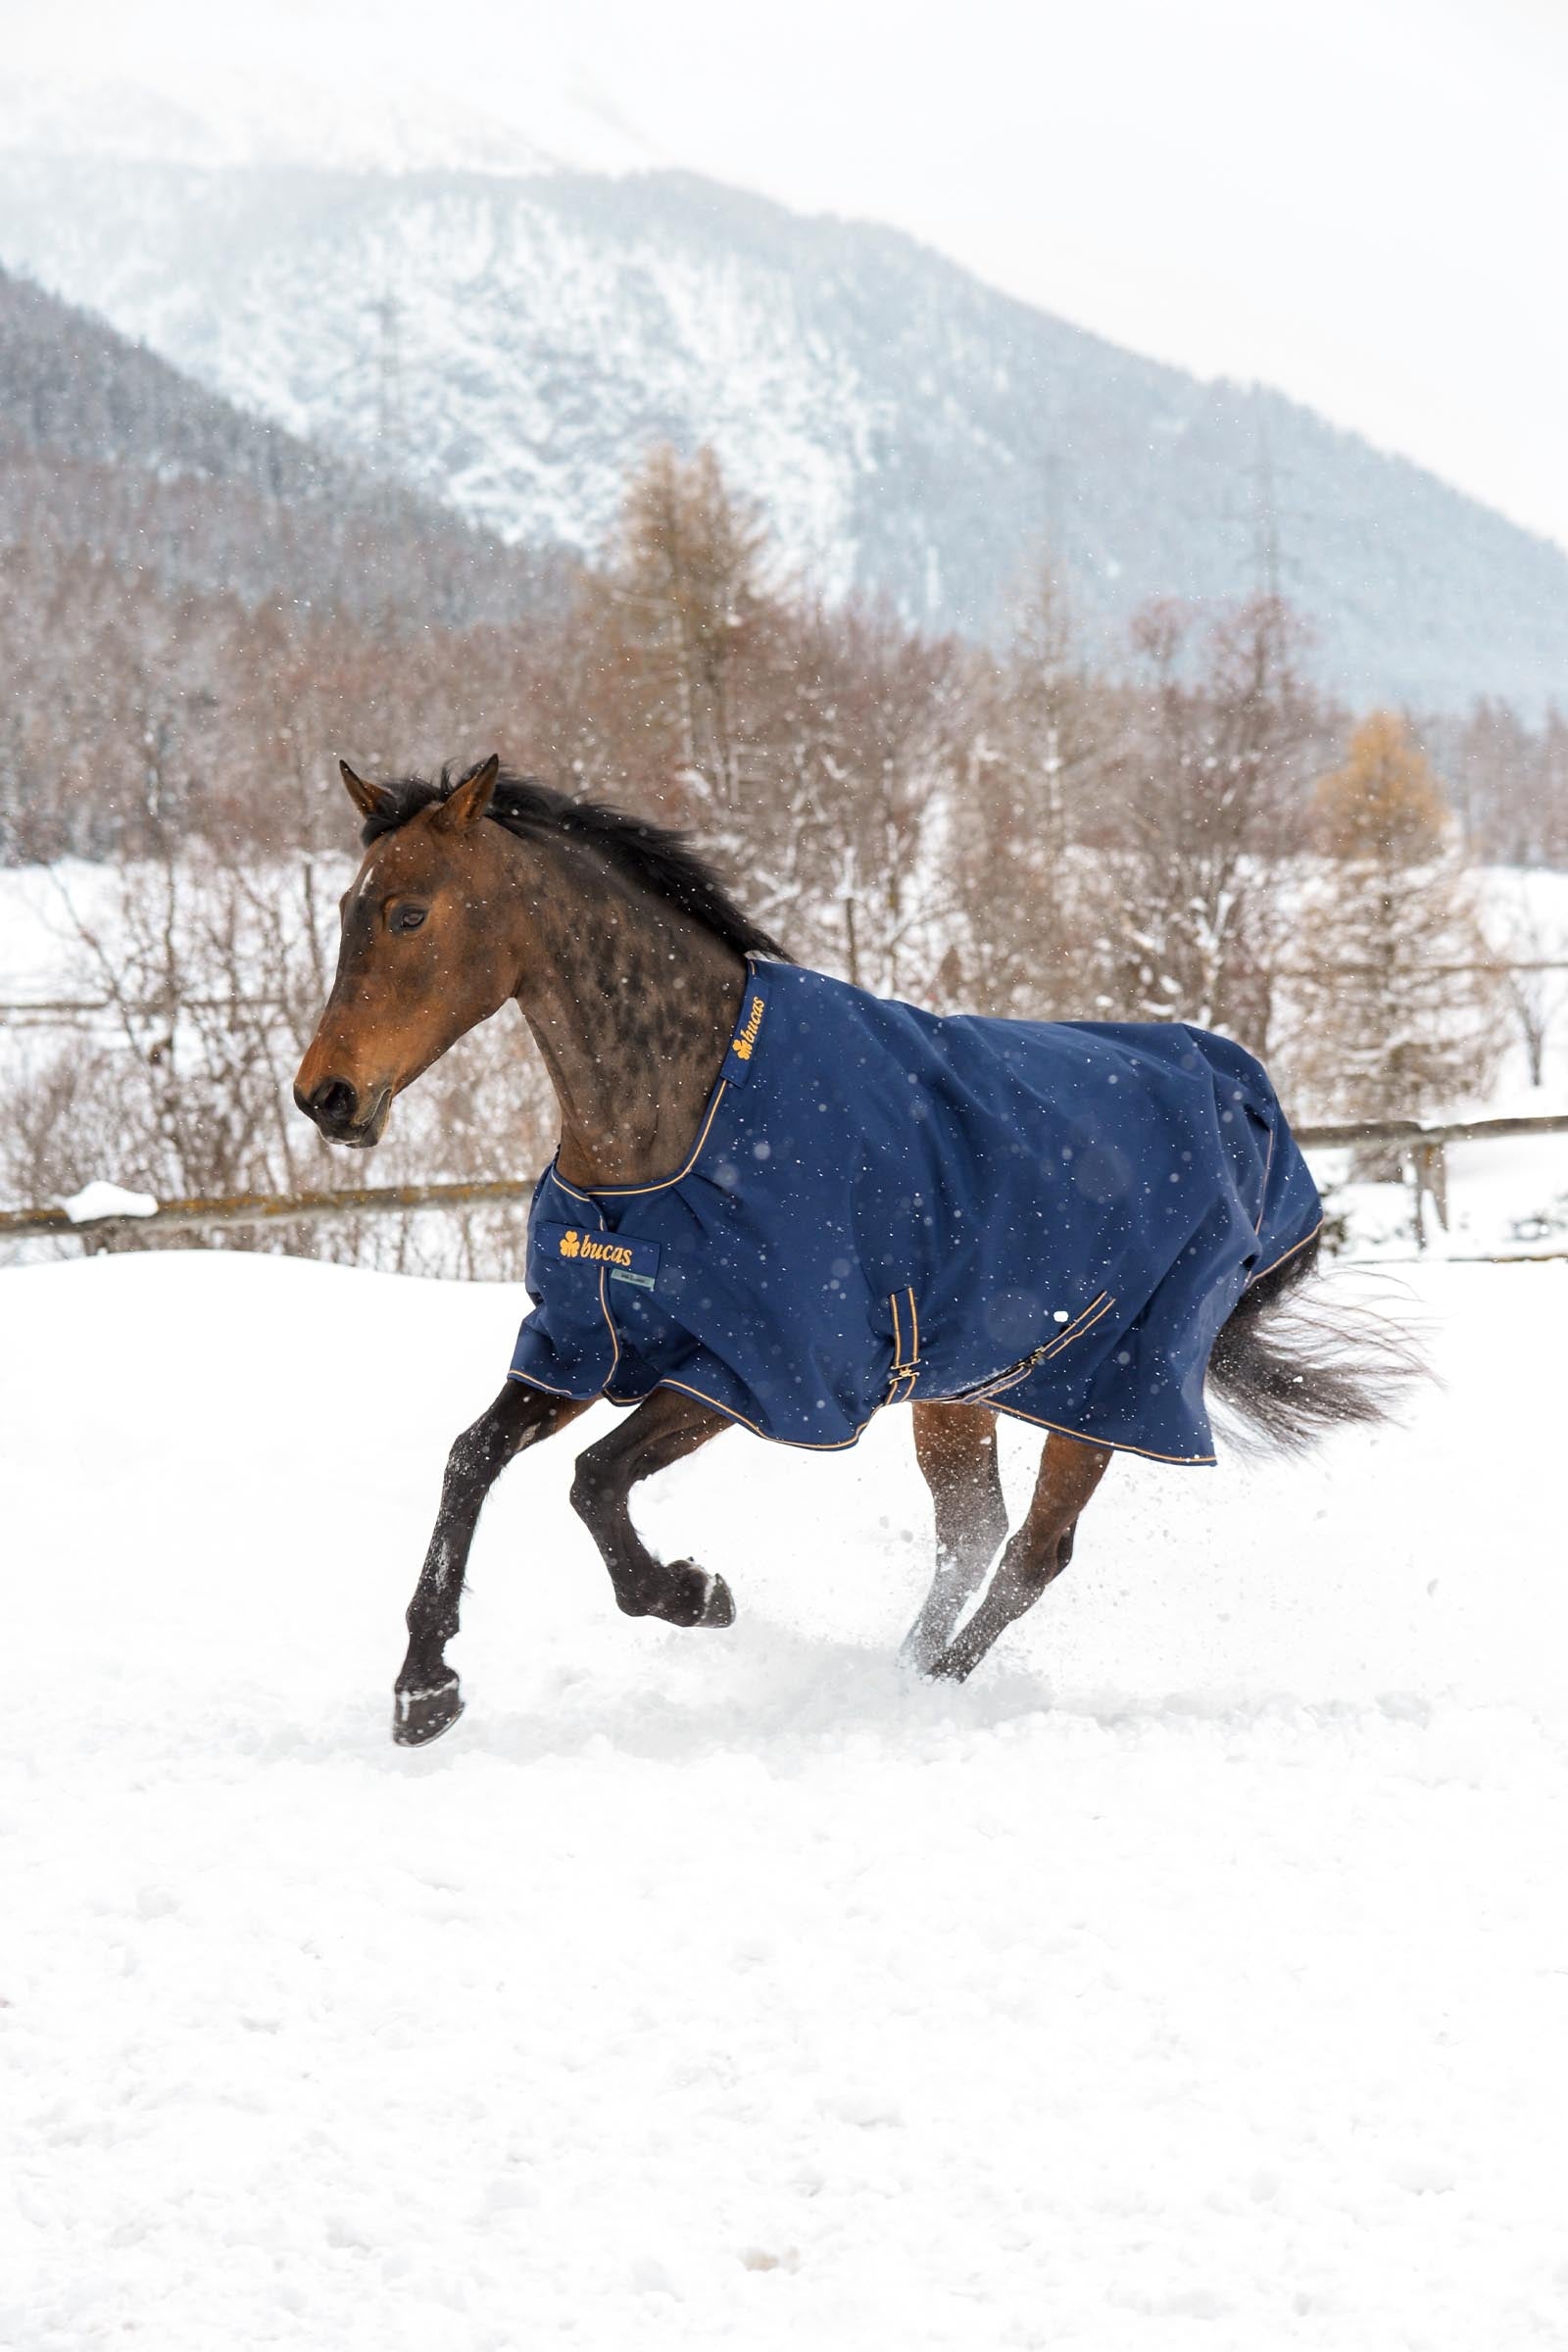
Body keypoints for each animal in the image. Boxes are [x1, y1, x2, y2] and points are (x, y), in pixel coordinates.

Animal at [295, 754, 1409, 1747]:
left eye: (409, 914)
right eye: (349, 907)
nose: (326, 1097)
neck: (680, 1122)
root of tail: (1252, 1111)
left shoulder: (758, 1370)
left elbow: (594, 1481)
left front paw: (695, 1593)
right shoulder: (584, 1342)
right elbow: (471, 1460)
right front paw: (423, 1689)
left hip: (1105, 1390)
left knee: (1033, 1554)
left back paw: (924, 1694)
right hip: (959, 1389)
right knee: (971, 1538)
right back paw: (901, 1674)